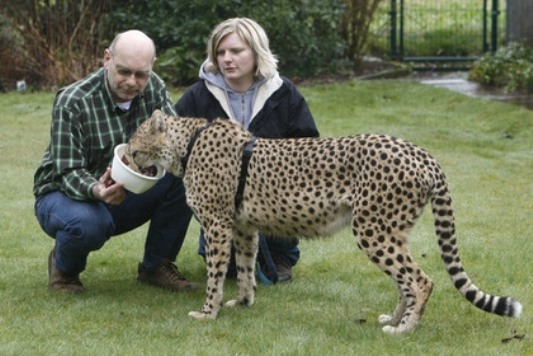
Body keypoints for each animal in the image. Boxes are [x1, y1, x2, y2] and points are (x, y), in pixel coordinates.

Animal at [125, 110, 520, 334]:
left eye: (135, 143)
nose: (126, 155)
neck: (187, 143)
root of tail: (419, 151)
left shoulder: (218, 225)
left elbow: (215, 275)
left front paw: (208, 313)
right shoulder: (244, 228)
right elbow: (247, 268)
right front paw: (243, 302)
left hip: (372, 230)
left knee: (421, 280)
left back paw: (406, 329)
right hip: (392, 231)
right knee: (405, 282)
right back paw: (394, 320)